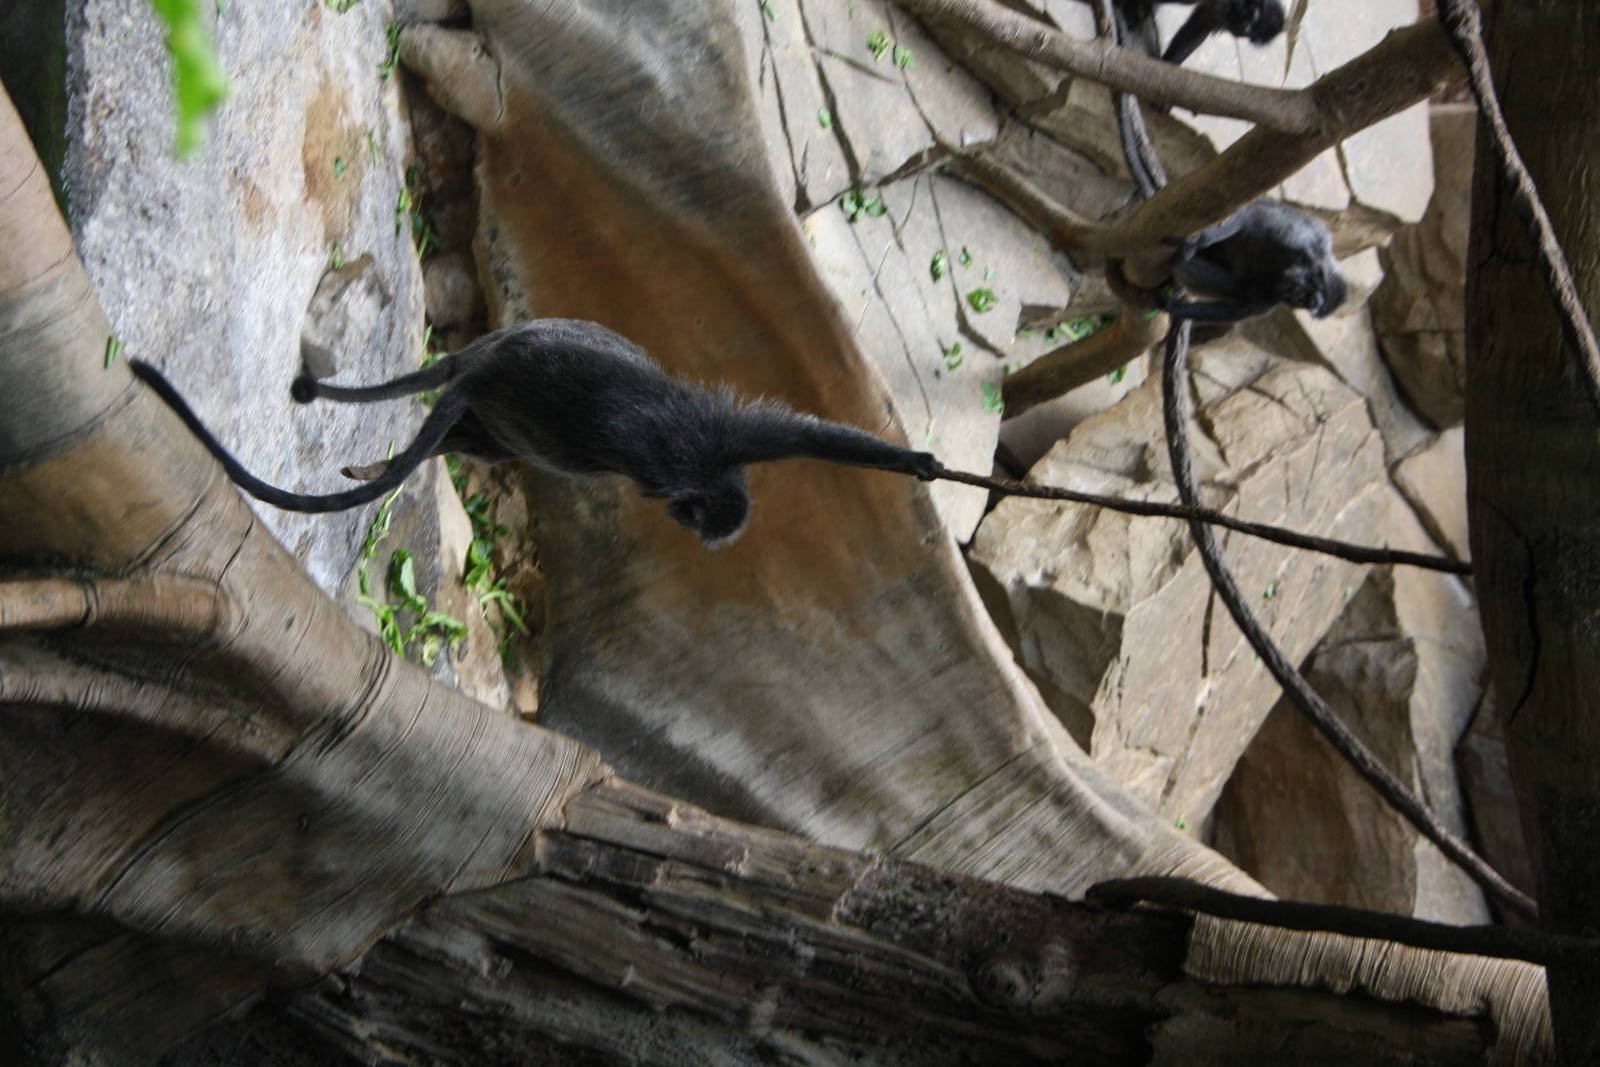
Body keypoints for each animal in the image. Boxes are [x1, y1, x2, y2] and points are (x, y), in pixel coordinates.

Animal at [128, 318, 939, 548]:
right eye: (688, 514)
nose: (682, 520)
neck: (705, 467)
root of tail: (488, 358)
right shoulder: (681, 453)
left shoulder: (737, 440)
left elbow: (813, 436)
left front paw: (919, 462)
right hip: (512, 393)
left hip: (493, 387)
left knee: (473, 435)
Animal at [1157, 199, 1347, 324]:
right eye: (1302, 294)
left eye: (1305, 302)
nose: (1294, 297)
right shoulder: (1295, 237)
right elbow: (1249, 215)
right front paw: (1199, 240)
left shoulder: (1271, 301)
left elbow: (1237, 310)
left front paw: (1171, 306)